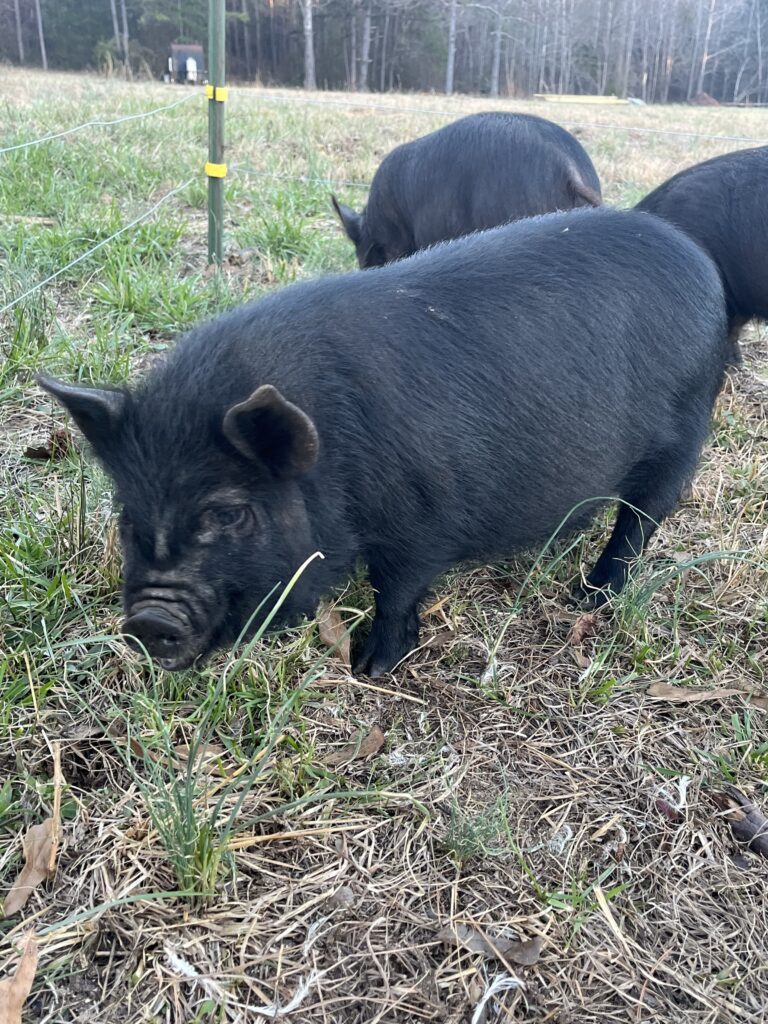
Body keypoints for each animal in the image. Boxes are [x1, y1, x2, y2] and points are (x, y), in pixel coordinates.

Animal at [40, 204, 729, 675]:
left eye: (229, 513)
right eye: (128, 516)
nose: (147, 619)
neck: (333, 455)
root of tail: (699, 262)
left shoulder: (423, 518)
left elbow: (395, 589)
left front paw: (371, 667)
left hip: (686, 427)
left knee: (641, 519)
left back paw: (591, 594)